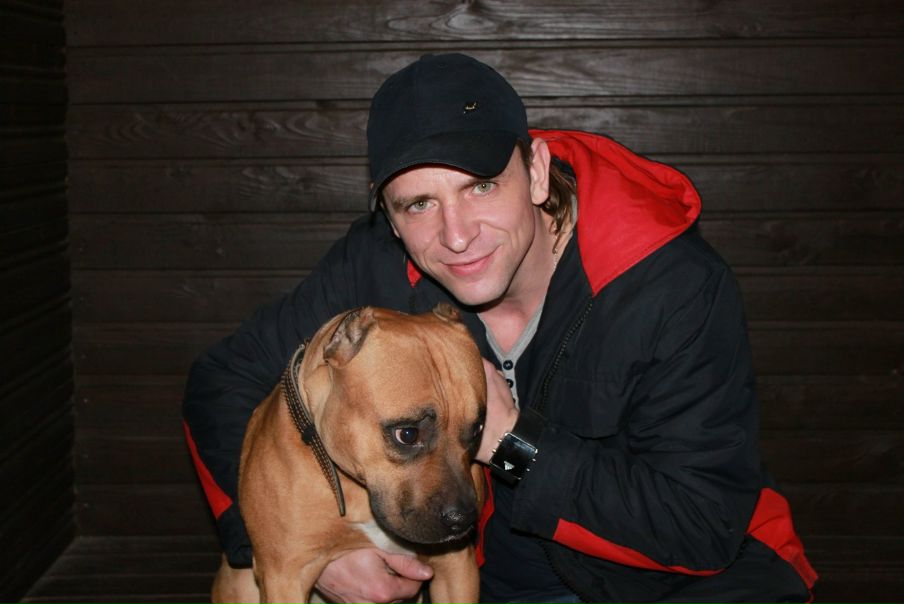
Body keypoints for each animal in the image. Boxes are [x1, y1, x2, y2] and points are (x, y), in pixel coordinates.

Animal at [211, 304, 487, 603]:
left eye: (477, 430)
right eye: (407, 434)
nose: (462, 519)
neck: (353, 487)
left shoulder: (456, 567)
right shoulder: (284, 577)